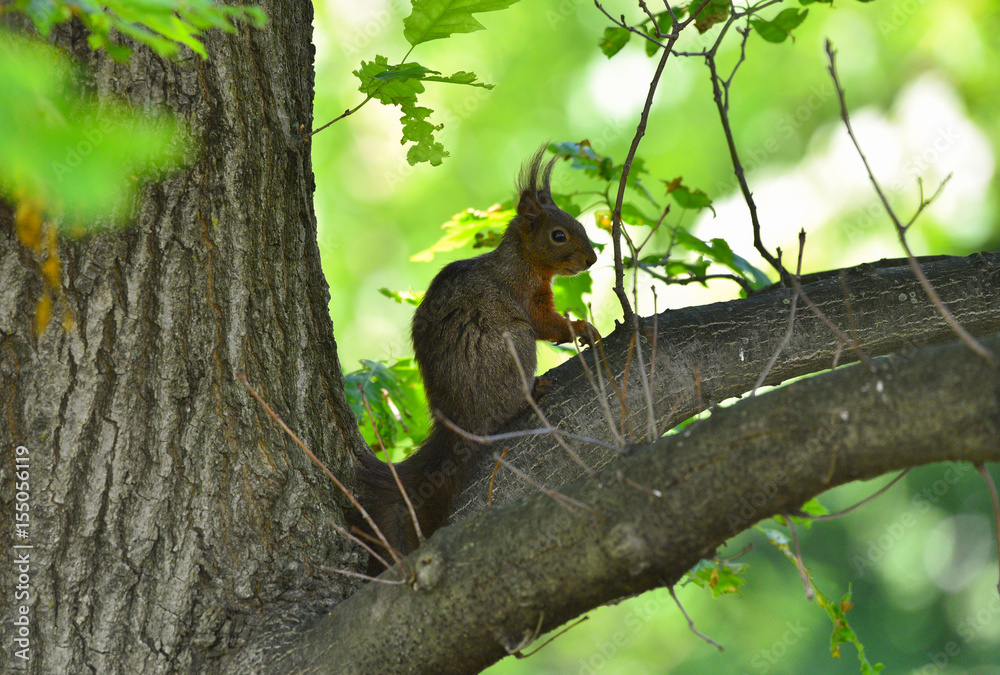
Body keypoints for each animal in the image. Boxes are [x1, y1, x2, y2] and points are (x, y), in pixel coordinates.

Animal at [353, 147, 599, 571]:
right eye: (559, 234)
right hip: (515, 346)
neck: (522, 260)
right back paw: (533, 391)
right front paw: (581, 328)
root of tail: (460, 422)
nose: (593, 260)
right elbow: (546, 324)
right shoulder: (525, 298)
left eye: (578, 225)